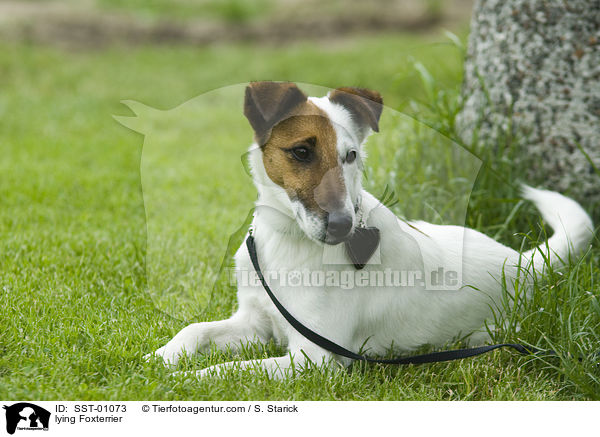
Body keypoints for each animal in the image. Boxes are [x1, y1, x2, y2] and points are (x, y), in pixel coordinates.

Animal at [149, 82, 592, 378]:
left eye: (351, 156)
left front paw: (185, 381)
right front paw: (163, 357)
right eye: (301, 152)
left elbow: (230, 371)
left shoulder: (313, 358)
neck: (290, 242)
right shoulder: (257, 325)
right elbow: (195, 330)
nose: (344, 226)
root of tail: (523, 261)